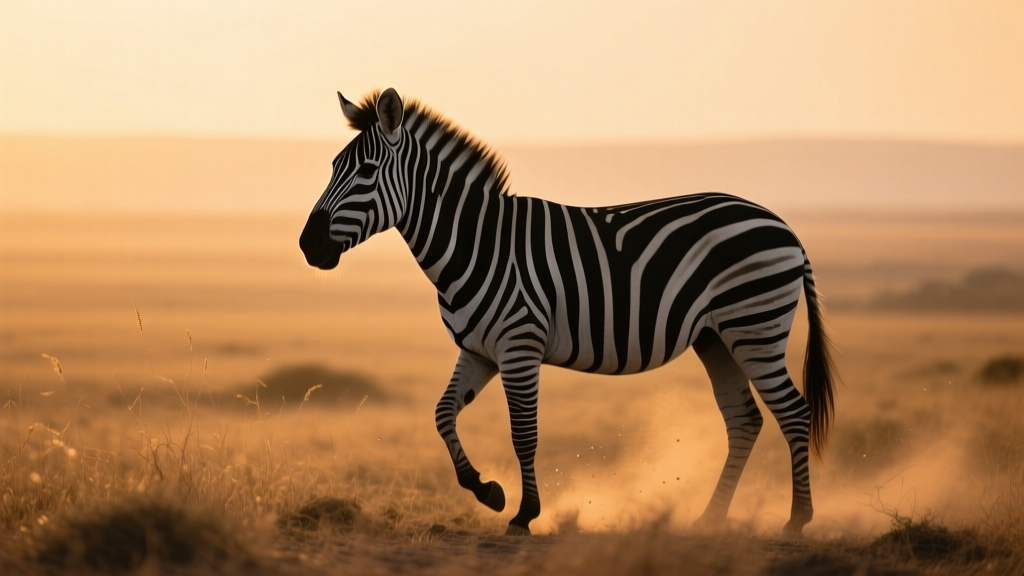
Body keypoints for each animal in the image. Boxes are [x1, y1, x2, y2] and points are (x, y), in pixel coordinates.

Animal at [299, 88, 838, 537]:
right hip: (717, 338)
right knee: (744, 420)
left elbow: (524, 434)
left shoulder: (519, 346)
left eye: (366, 172)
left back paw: (797, 520)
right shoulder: (479, 351)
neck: (477, 243)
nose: (308, 245)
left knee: (793, 412)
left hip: (754, 326)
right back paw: (710, 519)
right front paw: (487, 491)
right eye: (333, 166)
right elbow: (442, 414)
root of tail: (783, 226)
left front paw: (524, 515)